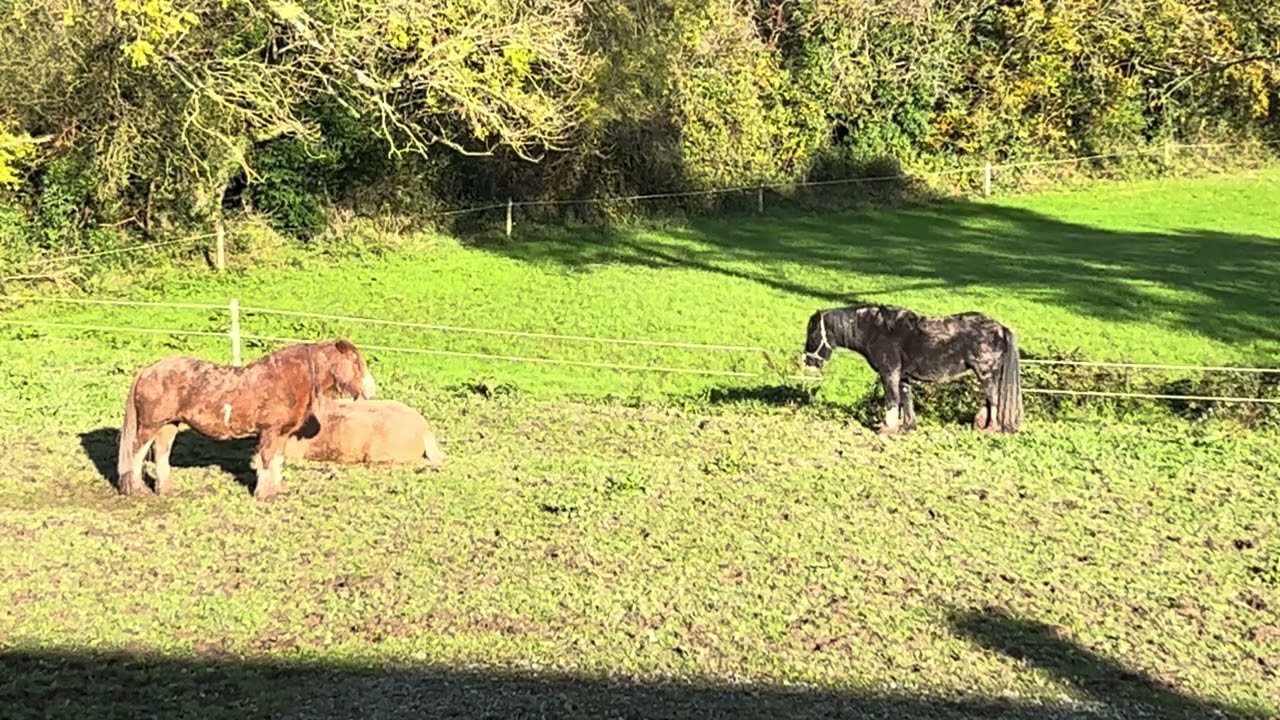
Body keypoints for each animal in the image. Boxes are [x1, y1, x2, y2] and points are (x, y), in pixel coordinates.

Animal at [116, 338, 378, 500]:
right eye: (355, 361)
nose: (371, 389)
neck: (287, 380)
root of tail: (147, 369)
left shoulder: (281, 434)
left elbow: (277, 461)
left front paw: (277, 490)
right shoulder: (269, 432)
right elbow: (266, 461)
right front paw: (265, 494)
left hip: (168, 425)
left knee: (161, 453)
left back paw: (167, 489)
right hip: (150, 425)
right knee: (136, 452)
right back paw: (136, 489)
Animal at [802, 303, 1023, 435]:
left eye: (813, 333)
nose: (807, 361)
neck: (877, 331)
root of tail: (1002, 329)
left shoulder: (889, 373)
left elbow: (892, 400)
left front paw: (888, 429)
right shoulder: (903, 377)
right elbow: (906, 400)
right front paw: (907, 427)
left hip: (986, 374)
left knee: (994, 400)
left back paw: (990, 429)